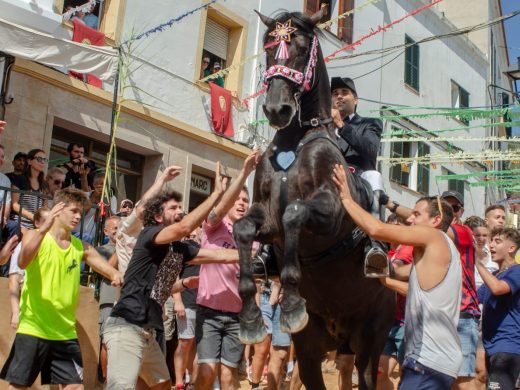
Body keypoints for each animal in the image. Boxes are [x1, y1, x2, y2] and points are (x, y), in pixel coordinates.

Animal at [233, 9, 394, 390]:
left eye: (302, 48)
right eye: (269, 47)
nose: (276, 108)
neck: (295, 140)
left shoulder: (331, 214)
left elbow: (294, 212)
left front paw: (292, 303)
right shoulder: (265, 217)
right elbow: (242, 228)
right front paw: (250, 318)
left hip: (371, 340)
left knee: (367, 372)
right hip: (310, 348)